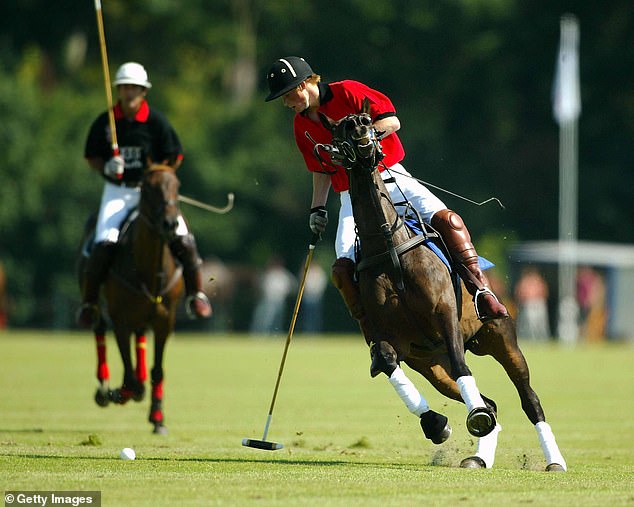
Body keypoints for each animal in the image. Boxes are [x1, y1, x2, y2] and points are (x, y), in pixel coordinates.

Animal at [78, 166, 184, 432]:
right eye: (148, 188)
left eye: (177, 185)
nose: (170, 223)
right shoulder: (120, 319)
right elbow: (129, 376)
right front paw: (121, 393)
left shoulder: (164, 320)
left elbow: (157, 370)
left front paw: (157, 417)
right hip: (96, 302)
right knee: (98, 327)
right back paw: (104, 389)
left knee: (140, 339)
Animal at [318, 99, 564, 472]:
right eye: (340, 129)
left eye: (368, 122)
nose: (360, 130)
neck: (389, 248)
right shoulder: (393, 338)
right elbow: (387, 360)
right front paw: (436, 424)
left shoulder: (445, 312)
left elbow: (463, 365)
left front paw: (473, 417)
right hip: (431, 365)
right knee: (490, 401)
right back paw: (479, 456)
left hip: (501, 339)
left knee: (529, 399)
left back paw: (554, 461)